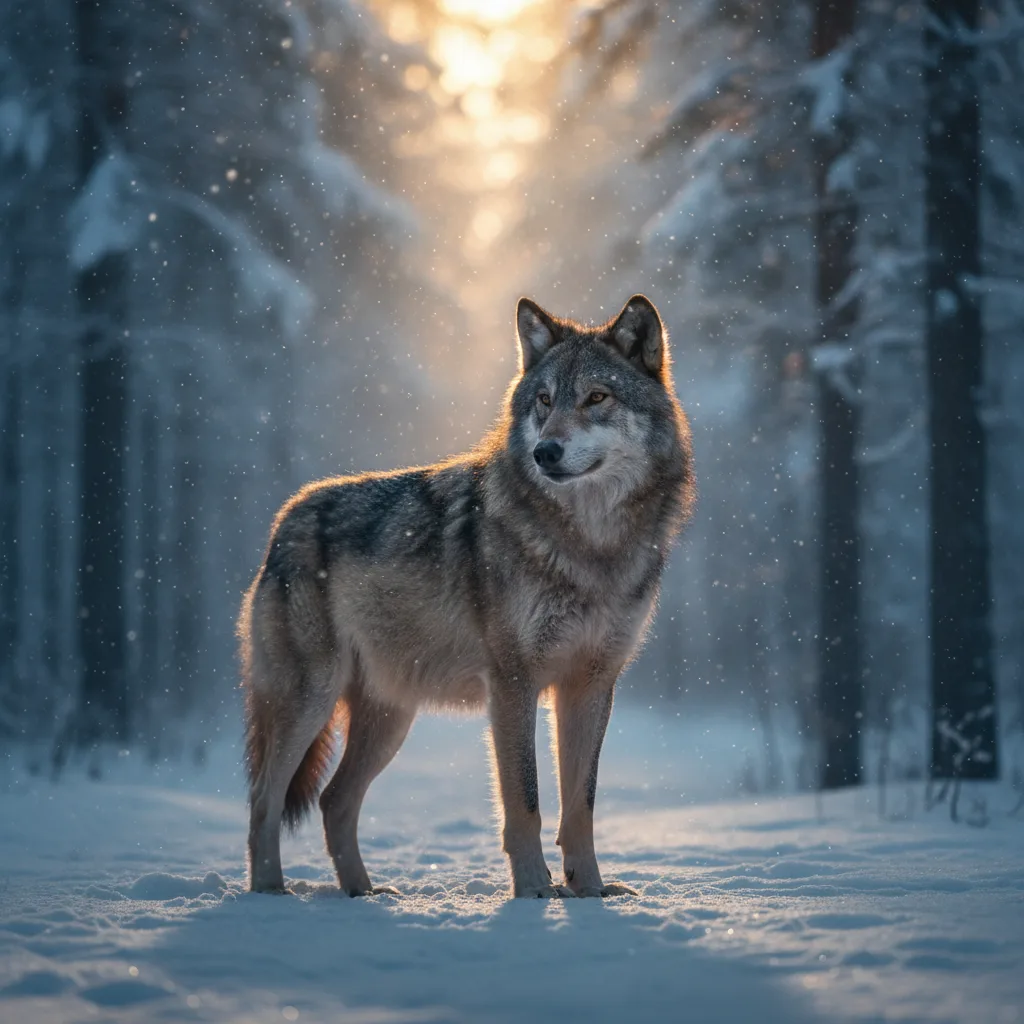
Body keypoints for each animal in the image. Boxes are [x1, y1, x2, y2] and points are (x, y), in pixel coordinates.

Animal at [240, 294, 694, 898]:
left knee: (334, 801)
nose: (546, 452)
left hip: (389, 718)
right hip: (309, 700)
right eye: (544, 401)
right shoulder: (513, 682)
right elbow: (525, 801)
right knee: (263, 800)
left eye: (596, 397)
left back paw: (365, 893)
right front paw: (535, 891)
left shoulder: (591, 685)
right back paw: (272, 893)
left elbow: (581, 804)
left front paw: (590, 892)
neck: (590, 545)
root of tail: (284, 519)